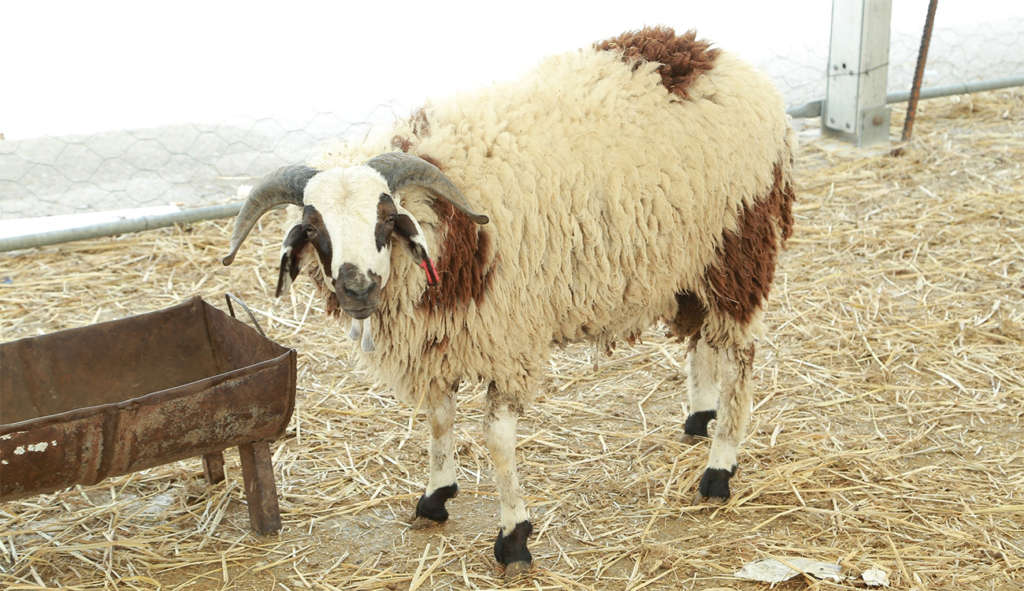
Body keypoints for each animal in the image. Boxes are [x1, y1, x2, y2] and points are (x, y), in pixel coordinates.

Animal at [221, 26, 796, 576]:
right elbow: (439, 418)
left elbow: (496, 438)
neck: (449, 221)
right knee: (704, 338)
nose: (356, 288)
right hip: (690, 264)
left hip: (737, 245)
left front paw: (514, 537)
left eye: (386, 219)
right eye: (315, 230)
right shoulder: (443, 337)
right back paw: (700, 416)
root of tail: (710, 56)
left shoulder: (507, 338)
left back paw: (719, 467)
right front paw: (436, 496)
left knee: (740, 354)